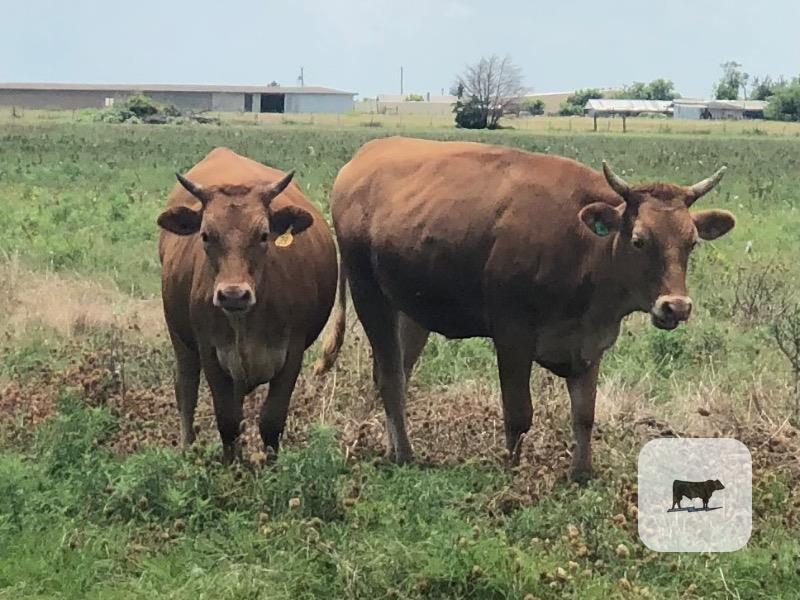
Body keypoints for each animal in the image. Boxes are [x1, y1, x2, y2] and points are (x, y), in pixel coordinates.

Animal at [157, 147, 337, 462]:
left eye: (264, 235)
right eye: (206, 235)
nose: (233, 294)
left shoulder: (292, 353)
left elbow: (271, 420)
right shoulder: (210, 352)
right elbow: (227, 420)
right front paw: (233, 466)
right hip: (179, 336)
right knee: (186, 389)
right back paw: (187, 448)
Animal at [315, 136, 735, 483]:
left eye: (692, 242)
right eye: (638, 240)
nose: (676, 307)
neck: (584, 246)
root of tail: (360, 160)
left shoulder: (590, 342)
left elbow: (584, 415)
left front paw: (581, 475)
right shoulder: (512, 335)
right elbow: (518, 413)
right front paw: (513, 474)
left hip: (411, 310)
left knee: (395, 373)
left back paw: (392, 447)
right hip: (370, 296)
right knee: (390, 377)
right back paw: (404, 455)